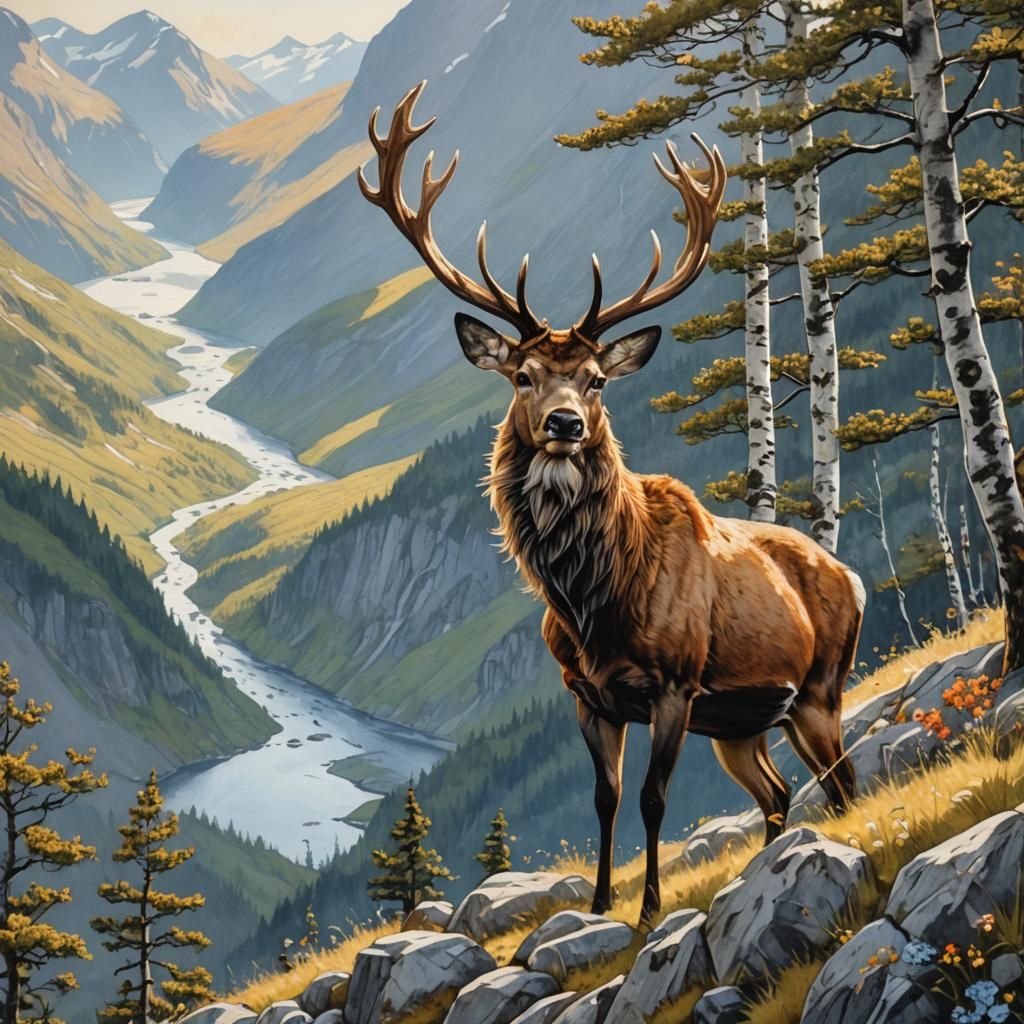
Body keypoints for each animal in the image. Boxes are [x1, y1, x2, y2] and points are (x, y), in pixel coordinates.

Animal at [358, 82, 865, 929]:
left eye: (596, 379)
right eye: (523, 374)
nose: (565, 423)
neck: (596, 601)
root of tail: (853, 577)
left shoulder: (674, 683)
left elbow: (654, 800)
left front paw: (650, 910)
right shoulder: (586, 694)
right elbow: (606, 799)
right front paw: (599, 904)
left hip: (821, 687)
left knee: (845, 783)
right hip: (744, 723)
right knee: (779, 792)